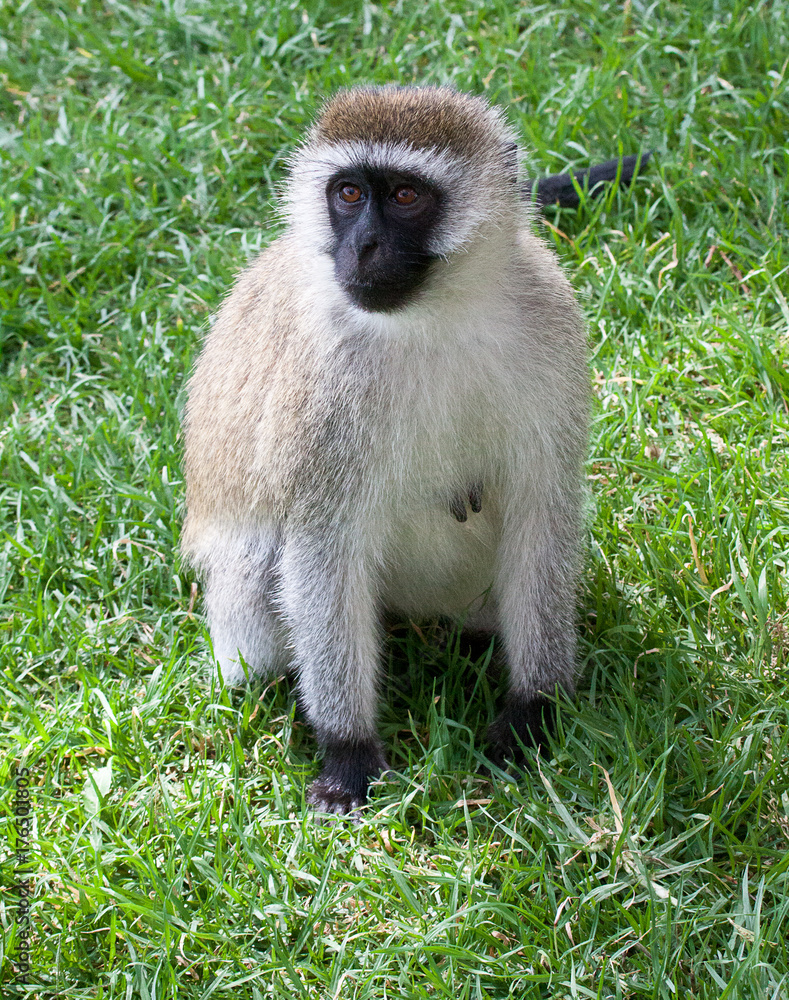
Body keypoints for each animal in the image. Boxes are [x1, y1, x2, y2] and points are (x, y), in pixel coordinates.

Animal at [183, 84, 611, 815]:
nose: (362, 246)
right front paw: (347, 752)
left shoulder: (550, 322)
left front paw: (532, 712)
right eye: (349, 193)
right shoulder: (323, 386)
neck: (435, 316)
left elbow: (540, 515)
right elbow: (322, 549)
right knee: (262, 568)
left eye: (406, 196)